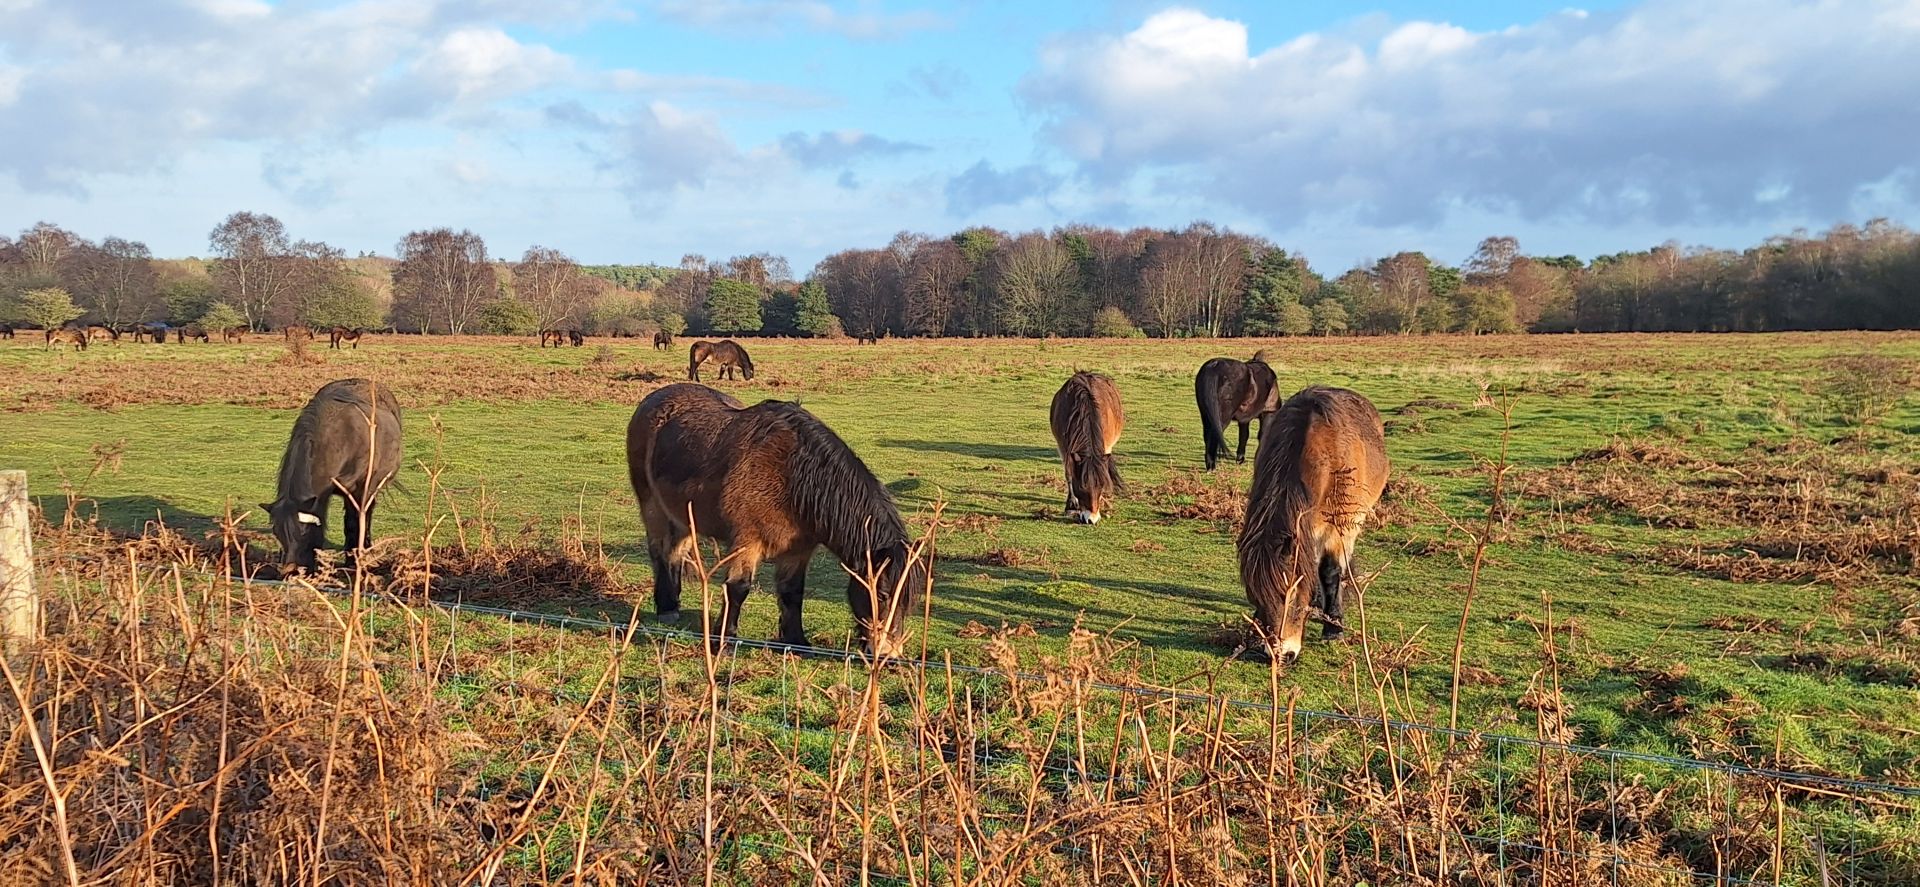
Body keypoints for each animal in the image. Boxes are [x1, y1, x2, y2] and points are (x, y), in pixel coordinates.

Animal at [261, 378, 404, 571]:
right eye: (277, 533)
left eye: (303, 532)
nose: (291, 570)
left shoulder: (358, 492)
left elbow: (355, 522)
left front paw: (354, 562)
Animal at [626, 383, 927, 657]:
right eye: (883, 594)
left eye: (909, 601)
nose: (888, 655)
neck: (791, 477)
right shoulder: (746, 542)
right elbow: (738, 589)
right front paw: (725, 643)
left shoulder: (797, 551)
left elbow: (793, 593)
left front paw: (797, 642)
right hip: (652, 507)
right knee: (659, 552)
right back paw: (666, 607)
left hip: (684, 515)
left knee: (675, 553)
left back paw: (673, 603)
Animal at [1049, 371, 1126, 525]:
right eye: (1081, 488)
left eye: (1101, 486)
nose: (1091, 520)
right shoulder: (1064, 448)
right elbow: (1069, 474)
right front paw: (1071, 506)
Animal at [1236, 386, 1389, 665]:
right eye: (1257, 596)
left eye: (1292, 595)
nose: (1280, 655)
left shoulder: (1339, 527)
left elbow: (1330, 571)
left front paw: (1334, 628)